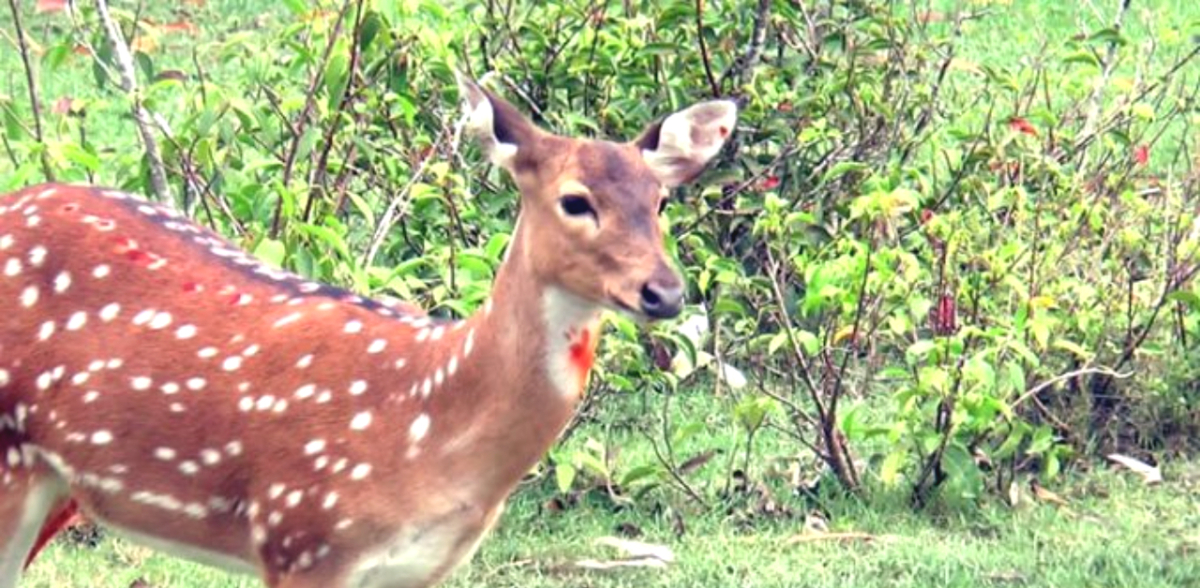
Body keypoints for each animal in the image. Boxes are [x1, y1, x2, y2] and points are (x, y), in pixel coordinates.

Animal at [0, 74, 734, 588]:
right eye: (575, 200)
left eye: (659, 201)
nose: (664, 292)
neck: (428, 421)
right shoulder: (301, 533)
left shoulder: (418, 567)